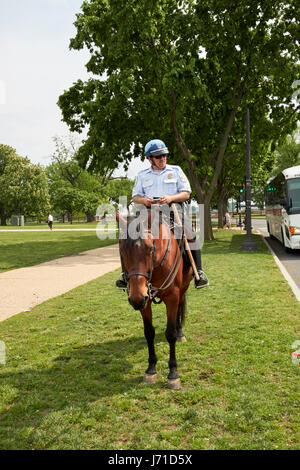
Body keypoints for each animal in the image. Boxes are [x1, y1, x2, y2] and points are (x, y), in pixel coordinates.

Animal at [116, 207, 193, 392]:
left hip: (183, 289)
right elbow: (149, 333)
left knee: (179, 311)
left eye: (150, 248)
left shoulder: (172, 297)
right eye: (122, 250)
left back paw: (181, 333)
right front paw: (151, 369)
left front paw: (173, 374)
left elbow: (170, 333)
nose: (136, 298)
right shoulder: (145, 300)